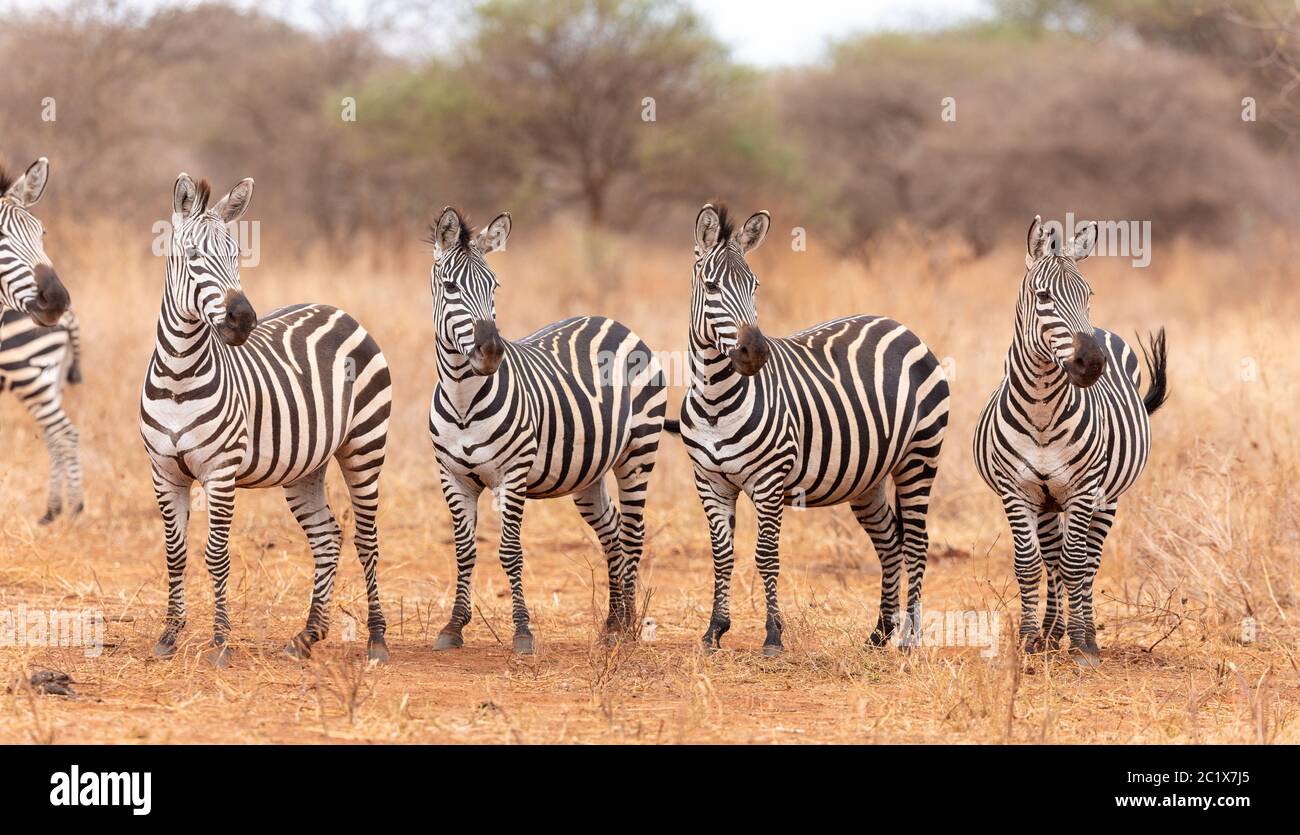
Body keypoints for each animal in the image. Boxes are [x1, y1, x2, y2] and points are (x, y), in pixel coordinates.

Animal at [0, 305, 83, 520]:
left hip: (26, 374)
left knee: (64, 432)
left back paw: (74, 508)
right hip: (52, 380)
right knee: (52, 435)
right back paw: (53, 510)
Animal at [139, 174, 390, 663]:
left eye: (237, 254)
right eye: (193, 256)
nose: (243, 319)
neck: (179, 377)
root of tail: (337, 309)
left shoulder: (219, 473)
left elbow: (216, 555)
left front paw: (220, 642)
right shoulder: (164, 473)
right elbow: (174, 553)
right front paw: (169, 636)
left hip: (365, 446)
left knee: (366, 540)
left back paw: (376, 640)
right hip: (306, 466)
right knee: (327, 537)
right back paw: (308, 635)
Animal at [428, 206, 670, 650]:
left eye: (494, 286)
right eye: (451, 286)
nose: (491, 352)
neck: (464, 401)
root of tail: (612, 320)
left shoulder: (512, 474)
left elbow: (509, 552)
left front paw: (523, 632)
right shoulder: (452, 476)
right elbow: (464, 551)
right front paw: (453, 627)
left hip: (638, 452)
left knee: (632, 532)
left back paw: (628, 627)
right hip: (588, 474)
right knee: (612, 532)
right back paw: (613, 622)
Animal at [665, 205, 951, 652]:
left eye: (755, 285)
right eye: (710, 287)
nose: (755, 352)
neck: (715, 401)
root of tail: (899, 326)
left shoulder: (768, 480)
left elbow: (766, 555)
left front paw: (772, 636)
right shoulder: (709, 481)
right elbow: (722, 555)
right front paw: (714, 630)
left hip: (918, 458)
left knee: (918, 544)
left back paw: (910, 639)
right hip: (868, 478)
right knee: (891, 543)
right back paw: (879, 633)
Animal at [972, 218, 1175, 665]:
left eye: (1089, 295)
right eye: (1043, 296)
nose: (1092, 362)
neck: (1042, 410)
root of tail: (1104, 331)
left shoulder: (1083, 490)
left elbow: (1076, 563)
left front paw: (1082, 645)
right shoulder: (1017, 491)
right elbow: (1030, 564)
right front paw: (1030, 638)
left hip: (1107, 497)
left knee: (1087, 563)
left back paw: (1086, 635)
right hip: (1048, 501)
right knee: (1052, 560)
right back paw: (1052, 632)